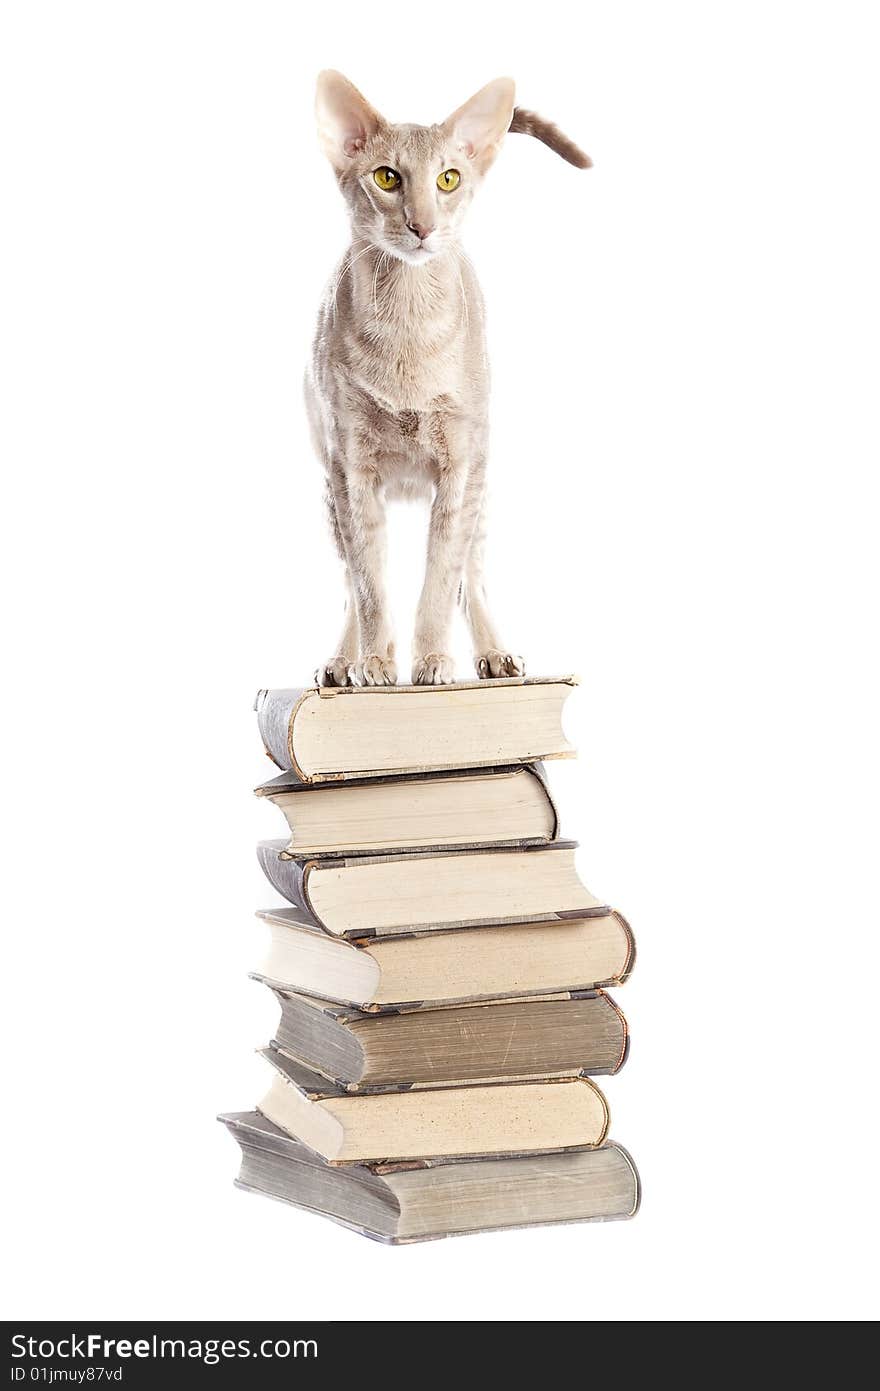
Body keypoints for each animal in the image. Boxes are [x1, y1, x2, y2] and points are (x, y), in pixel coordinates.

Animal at [305, 70, 586, 689]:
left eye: (448, 179)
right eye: (387, 177)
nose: (423, 226)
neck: (408, 329)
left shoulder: (461, 466)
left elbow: (441, 579)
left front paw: (433, 661)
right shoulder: (352, 469)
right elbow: (369, 585)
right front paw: (376, 665)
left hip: (481, 482)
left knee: (471, 575)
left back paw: (496, 654)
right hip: (330, 495)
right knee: (349, 584)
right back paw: (342, 663)